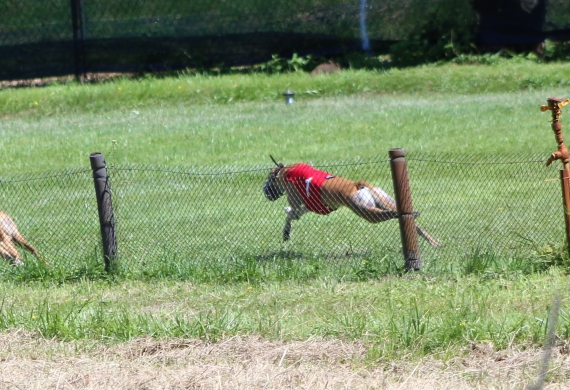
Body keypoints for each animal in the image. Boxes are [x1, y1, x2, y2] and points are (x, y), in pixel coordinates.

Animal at [262, 158, 440, 247]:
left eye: (269, 178)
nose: (264, 190)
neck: (285, 171)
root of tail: (356, 184)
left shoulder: (294, 196)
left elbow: (291, 213)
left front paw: (287, 229)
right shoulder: (310, 205)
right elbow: (295, 214)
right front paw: (287, 231)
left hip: (364, 210)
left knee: (387, 214)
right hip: (384, 200)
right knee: (415, 225)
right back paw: (434, 242)